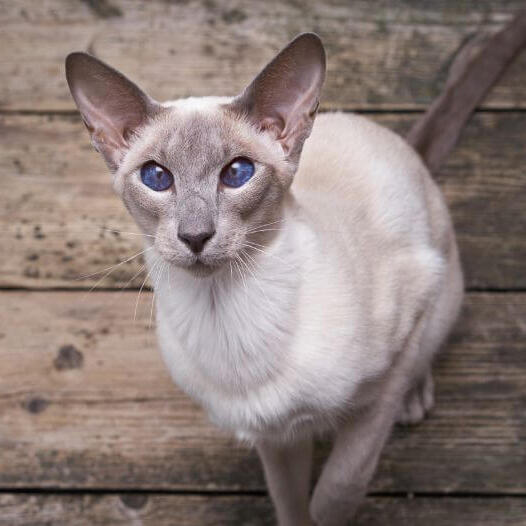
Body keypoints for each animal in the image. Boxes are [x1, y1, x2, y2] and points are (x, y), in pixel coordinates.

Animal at [66, 10, 526, 524]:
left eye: (237, 173)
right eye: (156, 177)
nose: (195, 236)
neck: (225, 314)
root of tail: (406, 146)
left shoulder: (385, 380)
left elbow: (337, 490)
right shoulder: (276, 435)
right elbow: (288, 500)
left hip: (441, 287)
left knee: (427, 348)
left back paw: (416, 399)